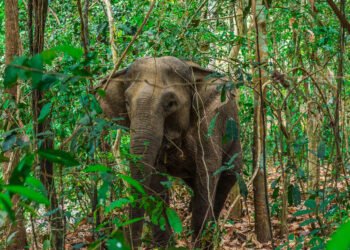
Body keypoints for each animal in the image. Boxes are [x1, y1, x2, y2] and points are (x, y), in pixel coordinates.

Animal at [97, 55, 242, 249]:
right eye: (126, 103)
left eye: (171, 103)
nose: (131, 243)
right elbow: (155, 181)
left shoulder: (210, 124)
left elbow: (208, 175)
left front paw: (198, 243)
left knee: (226, 180)